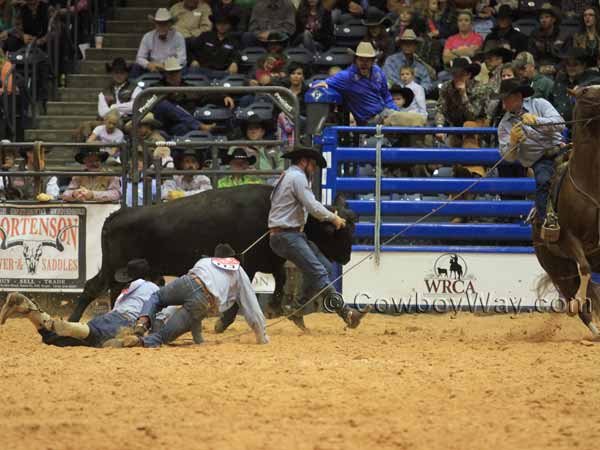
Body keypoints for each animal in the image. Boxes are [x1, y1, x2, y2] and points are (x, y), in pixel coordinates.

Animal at [68, 183, 356, 324]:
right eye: (338, 233)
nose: (346, 258)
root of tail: (117, 214)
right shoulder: (248, 262)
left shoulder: (270, 260)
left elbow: (281, 279)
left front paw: (275, 307)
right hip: (113, 265)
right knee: (94, 287)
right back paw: (73, 318)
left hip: (120, 269)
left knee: (110, 290)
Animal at [532, 84, 600, 340]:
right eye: (587, 91)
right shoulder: (570, 238)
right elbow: (585, 269)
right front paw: (576, 304)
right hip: (558, 269)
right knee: (581, 303)